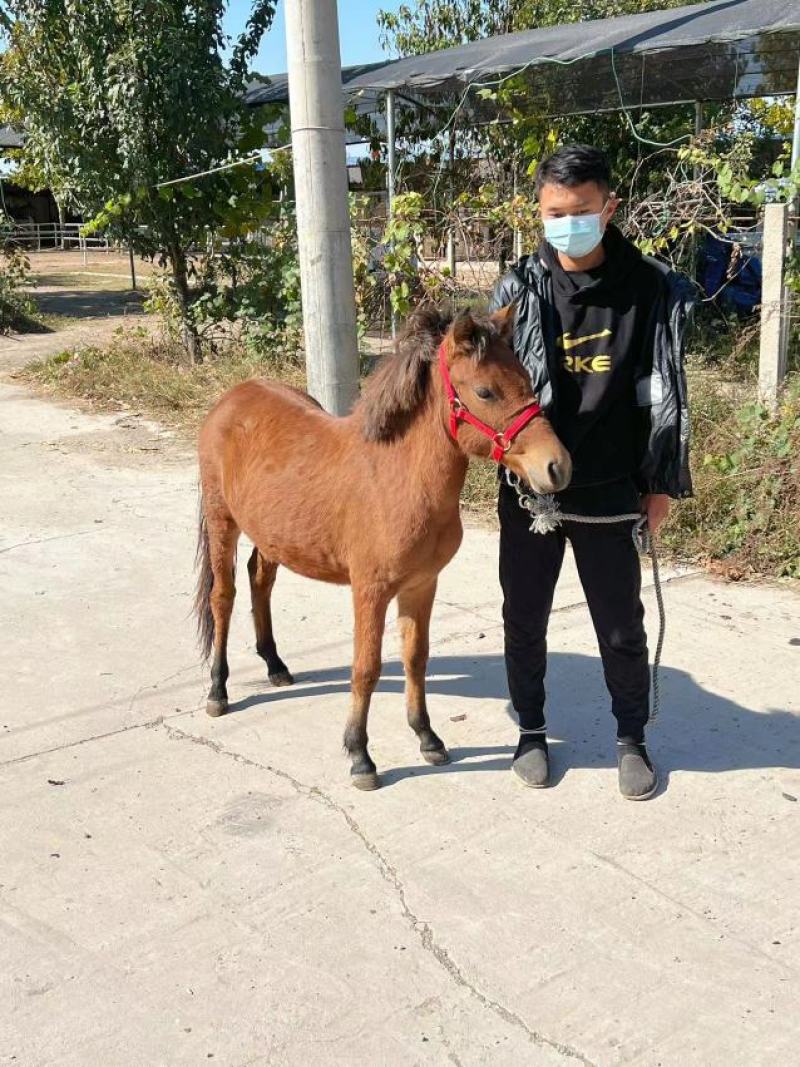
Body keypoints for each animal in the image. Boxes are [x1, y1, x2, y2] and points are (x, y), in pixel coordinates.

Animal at [195, 304, 571, 789]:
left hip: (271, 534)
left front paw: (427, 737)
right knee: (222, 597)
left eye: (527, 379)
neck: (399, 477)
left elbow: (416, 658)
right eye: (485, 391)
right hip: (222, 521)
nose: (557, 466)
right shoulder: (369, 590)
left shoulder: (421, 585)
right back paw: (217, 690)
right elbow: (366, 667)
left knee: (260, 581)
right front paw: (360, 755)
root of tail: (233, 397)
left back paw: (276, 665)